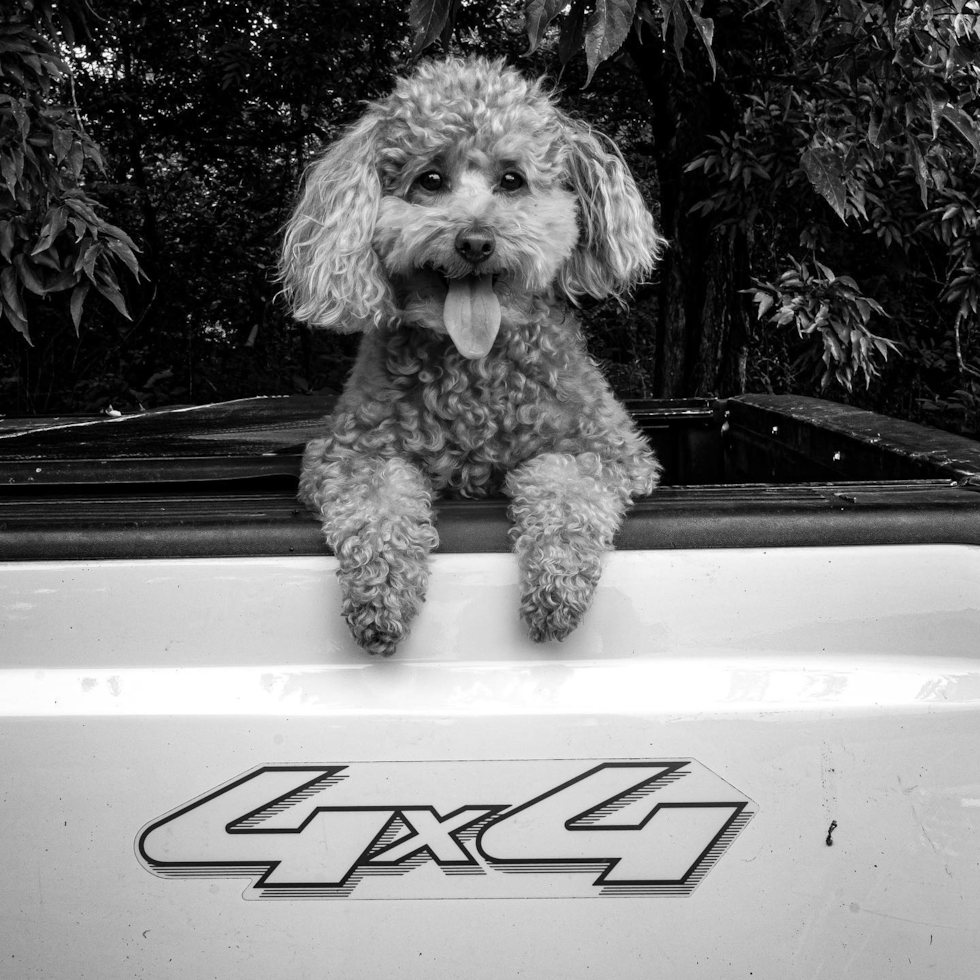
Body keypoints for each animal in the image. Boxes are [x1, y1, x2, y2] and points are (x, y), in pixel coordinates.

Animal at [280, 55, 668, 660]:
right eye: (430, 180)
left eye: (512, 179)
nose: (476, 241)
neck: (474, 370)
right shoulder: (345, 452)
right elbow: (377, 499)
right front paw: (381, 592)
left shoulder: (613, 450)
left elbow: (567, 485)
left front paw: (556, 588)